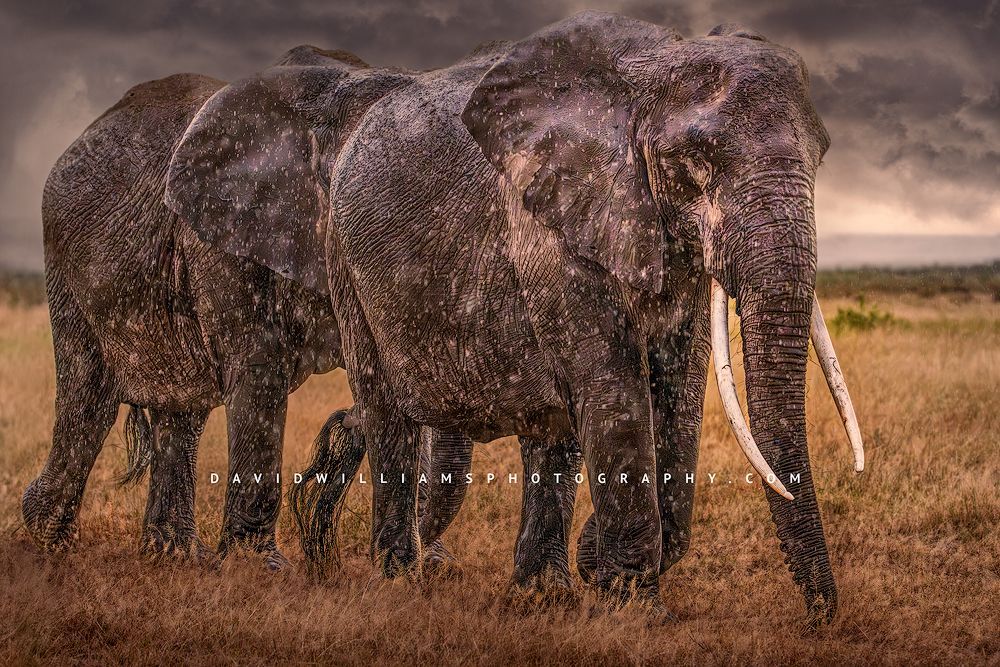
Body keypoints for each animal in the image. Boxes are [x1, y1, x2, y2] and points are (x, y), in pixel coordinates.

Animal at [23, 44, 476, 569]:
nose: (345, 422)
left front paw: (436, 567)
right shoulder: (218, 235)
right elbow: (259, 371)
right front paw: (261, 569)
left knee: (183, 413)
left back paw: (176, 555)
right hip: (65, 260)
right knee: (88, 398)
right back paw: (46, 537)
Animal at [165, 12, 865, 622]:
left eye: (824, 153)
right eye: (697, 157)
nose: (818, 619)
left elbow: (678, 389)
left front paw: (604, 577)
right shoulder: (548, 224)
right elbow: (614, 393)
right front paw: (635, 611)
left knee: (550, 429)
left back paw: (541, 593)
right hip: (345, 260)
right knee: (388, 408)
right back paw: (399, 581)